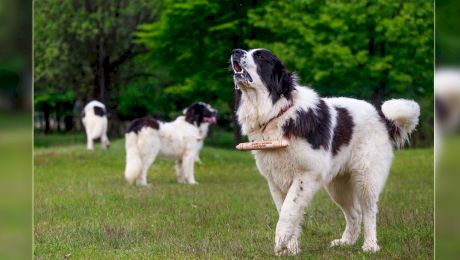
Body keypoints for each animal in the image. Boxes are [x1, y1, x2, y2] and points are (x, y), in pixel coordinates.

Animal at [230, 48, 420, 256]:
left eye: (260, 56)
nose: (235, 51)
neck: (278, 113)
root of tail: (381, 116)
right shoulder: (276, 181)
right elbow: (289, 211)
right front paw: (291, 249)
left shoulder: (306, 174)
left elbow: (288, 210)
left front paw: (281, 241)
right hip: (338, 185)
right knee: (354, 213)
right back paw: (346, 242)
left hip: (365, 177)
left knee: (369, 210)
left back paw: (370, 245)